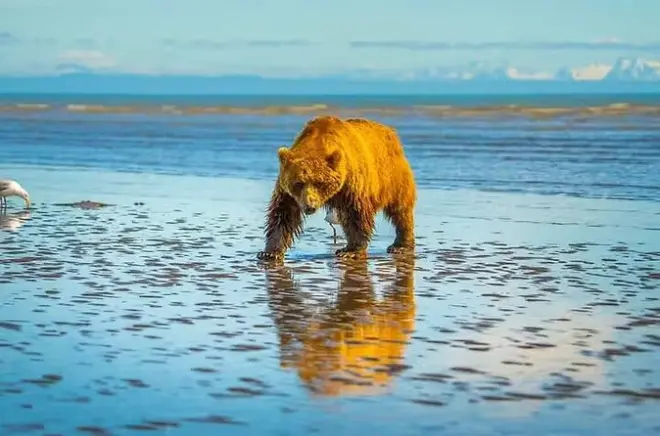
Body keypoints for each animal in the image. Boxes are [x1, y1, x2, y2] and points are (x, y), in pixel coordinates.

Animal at [257, 115, 417, 261]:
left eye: (319, 182)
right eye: (299, 183)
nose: (310, 206)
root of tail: (390, 131)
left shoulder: (351, 183)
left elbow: (356, 214)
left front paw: (350, 250)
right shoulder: (288, 192)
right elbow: (283, 214)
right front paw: (270, 252)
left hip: (392, 176)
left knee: (400, 210)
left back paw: (400, 245)